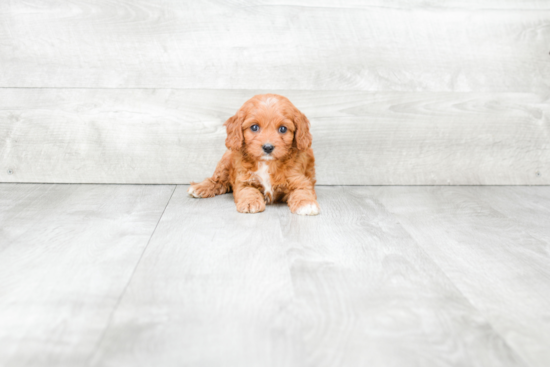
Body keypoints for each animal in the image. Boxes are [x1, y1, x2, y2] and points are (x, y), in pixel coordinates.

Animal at [189, 93, 322, 217]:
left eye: (283, 129)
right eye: (254, 127)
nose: (268, 147)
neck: (267, 163)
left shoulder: (299, 179)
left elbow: (302, 191)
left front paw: (306, 204)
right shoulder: (244, 180)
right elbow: (248, 191)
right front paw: (250, 203)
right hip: (225, 162)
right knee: (218, 180)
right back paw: (199, 188)